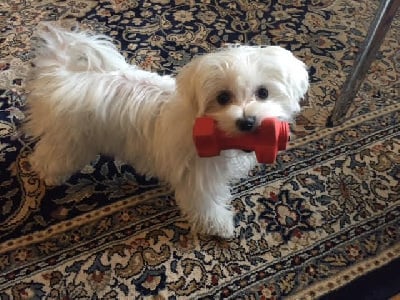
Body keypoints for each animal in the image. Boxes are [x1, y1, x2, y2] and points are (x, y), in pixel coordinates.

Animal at [25, 24, 310, 238]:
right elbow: (205, 205)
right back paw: (47, 175)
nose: (247, 121)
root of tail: (64, 77)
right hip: (71, 143)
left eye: (263, 93)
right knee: (48, 157)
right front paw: (220, 226)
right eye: (223, 97)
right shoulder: (197, 177)